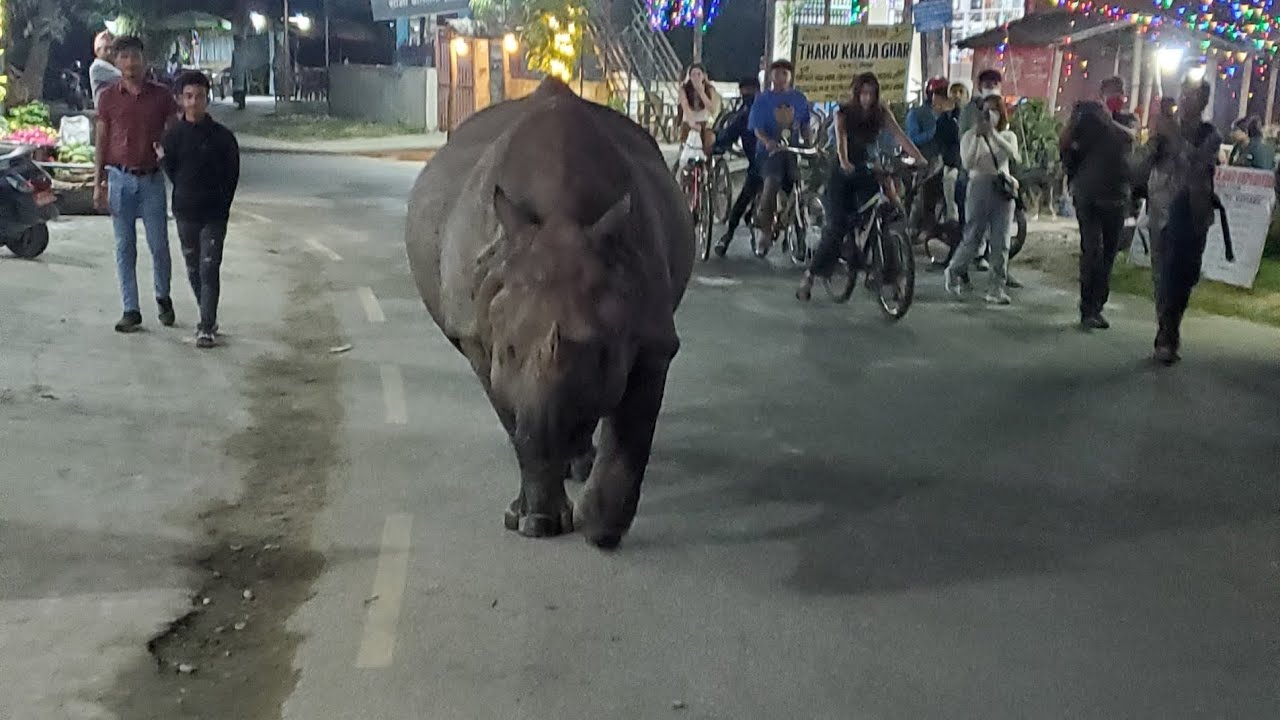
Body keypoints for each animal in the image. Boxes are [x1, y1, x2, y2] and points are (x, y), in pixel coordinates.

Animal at [405, 79, 694, 550]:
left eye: (603, 354)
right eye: (506, 349)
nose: (555, 433)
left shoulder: (652, 335)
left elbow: (632, 435)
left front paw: (600, 529)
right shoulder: (477, 334)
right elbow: (513, 419)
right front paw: (536, 523)